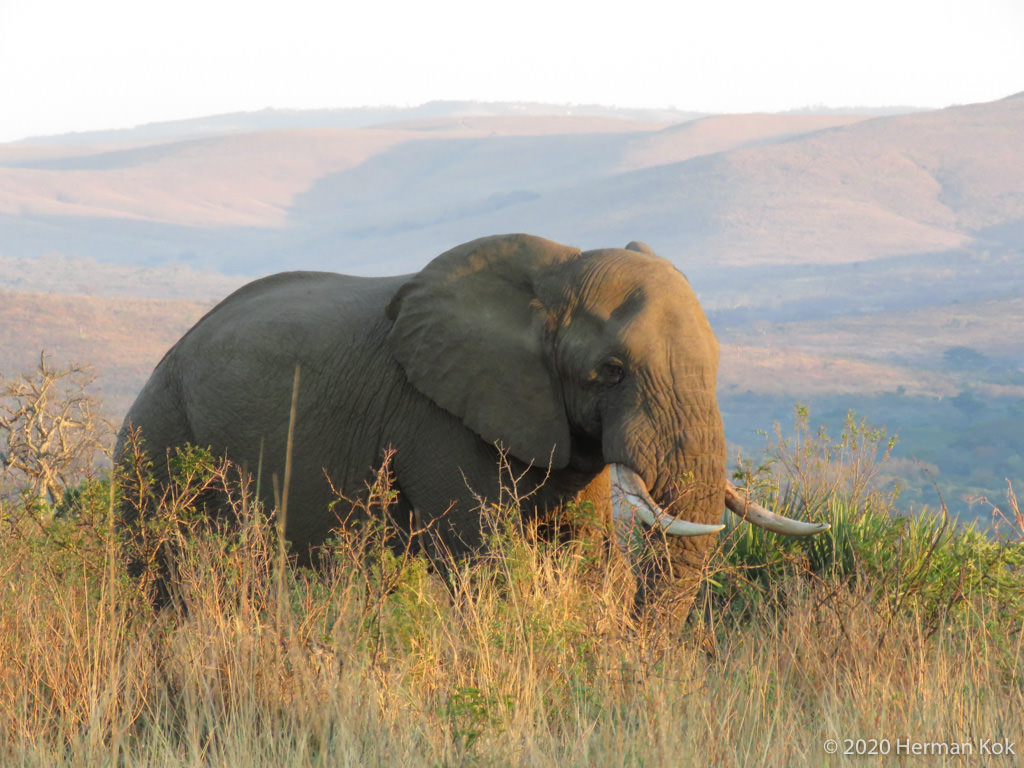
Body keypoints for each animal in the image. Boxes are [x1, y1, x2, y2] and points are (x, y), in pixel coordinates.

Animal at [116, 233, 827, 618]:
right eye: (611, 371)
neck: (549, 280)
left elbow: (587, 555)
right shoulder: (434, 417)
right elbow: (488, 560)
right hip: (156, 437)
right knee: (157, 570)